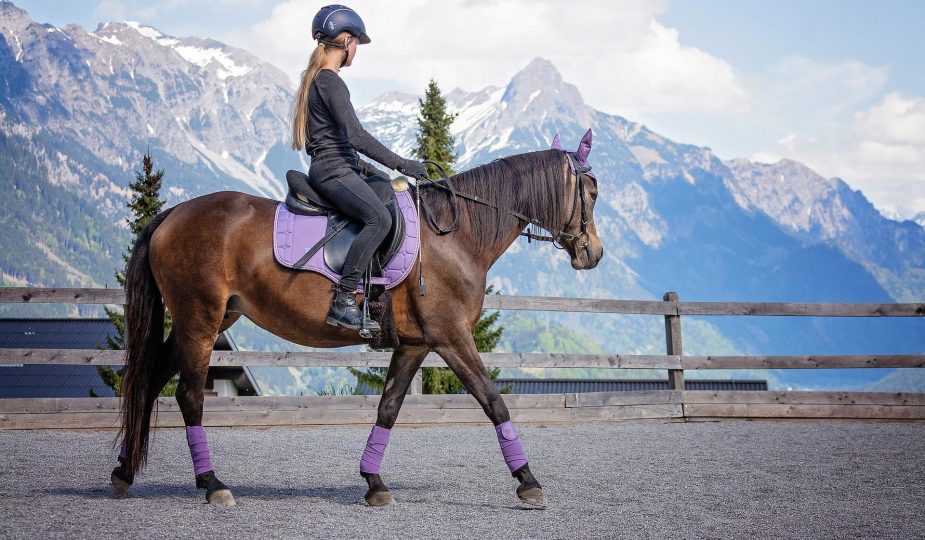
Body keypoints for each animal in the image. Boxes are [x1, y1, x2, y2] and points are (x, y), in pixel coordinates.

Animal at [112, 129, 604, 508]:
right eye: (592, 193)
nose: (593, 254)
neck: (456, 234)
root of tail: (173, 213)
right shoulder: (451, 336)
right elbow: (492, 400)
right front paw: (528, 481)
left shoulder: (416, 343)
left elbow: (389, 407)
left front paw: (374, 484)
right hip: (201, 319)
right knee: (189, 396)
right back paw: (212, 485)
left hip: (207, 320)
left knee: (150, 381)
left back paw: (124, 472)